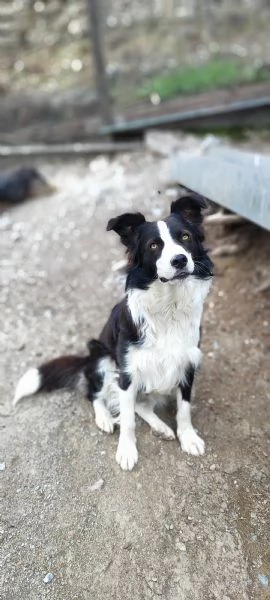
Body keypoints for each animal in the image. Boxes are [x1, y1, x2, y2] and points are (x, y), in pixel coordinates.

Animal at [14, 191, 213, 468]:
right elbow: (127, 419)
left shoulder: (187, 361)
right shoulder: (127, 370)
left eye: (185, 237)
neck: (168, 306)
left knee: (142, 405)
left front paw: (189, 437)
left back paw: (161, 428)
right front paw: (127, 450)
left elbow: (184, 407)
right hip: (103, 358)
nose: (180, 260)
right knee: (96, 394)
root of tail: (86, 360)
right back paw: (105, 419)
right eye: (154, 246)